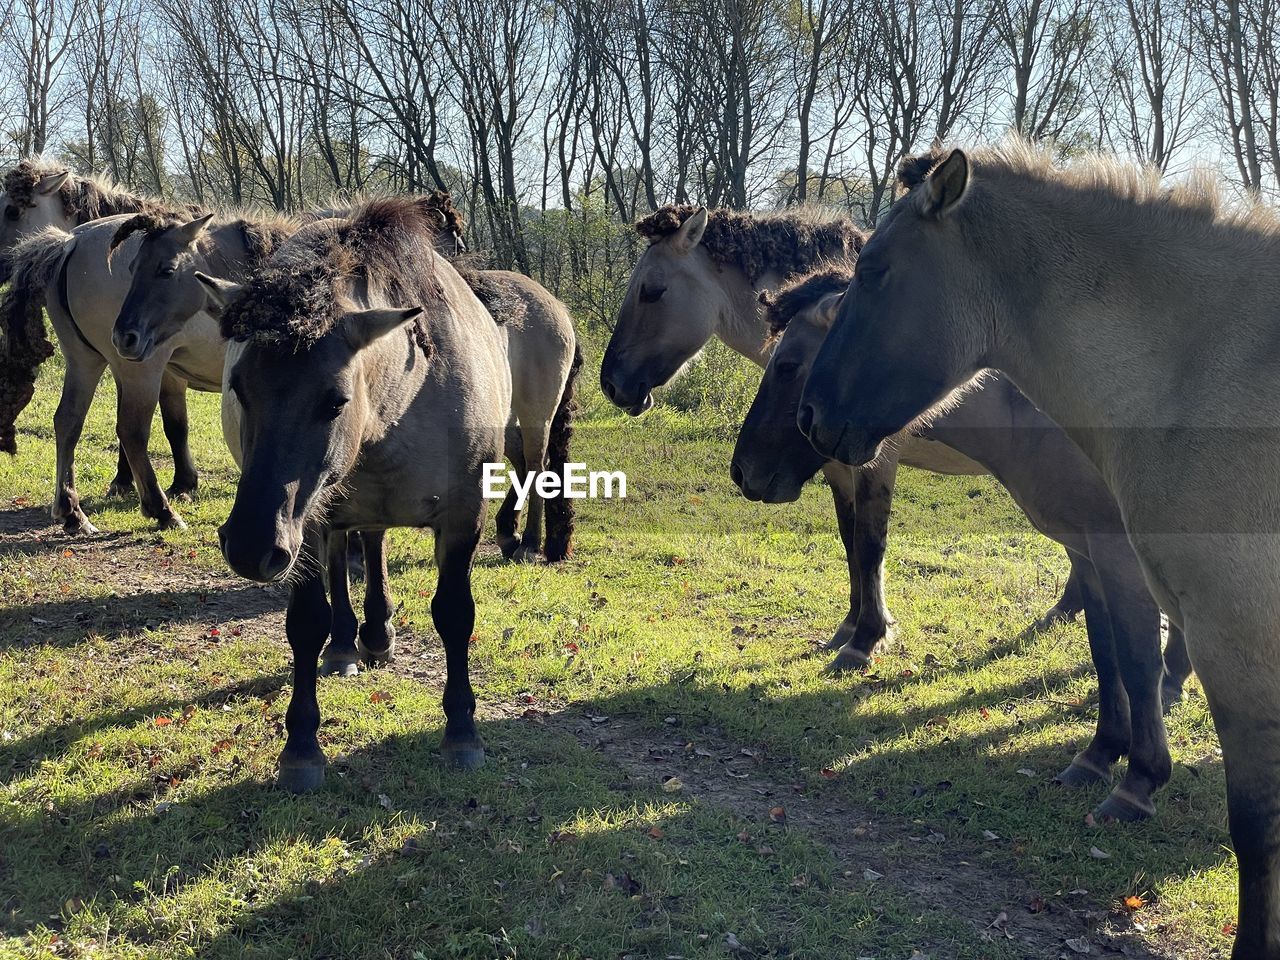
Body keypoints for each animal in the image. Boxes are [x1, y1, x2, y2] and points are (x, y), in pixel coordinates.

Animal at [197, 197, 506, 798]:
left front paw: (462, 731)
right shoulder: (301, 524)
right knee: (343, 559)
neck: (401, 402)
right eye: (239, 388)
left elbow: (454, 614)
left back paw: (377, 633)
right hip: (317, 518)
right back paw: (346, 643)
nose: (249, 546)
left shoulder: (465, 517)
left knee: (372, 543)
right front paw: (301, 747)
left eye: (335, 401)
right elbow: (306, 621)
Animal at [599, 203, 1080, 670]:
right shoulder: (834, 466)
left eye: (651, 291)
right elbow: (849, 540)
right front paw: (850, 626)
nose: (611, 383)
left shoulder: (874, 462)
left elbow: (869, 544)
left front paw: (866, 639)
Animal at [737, 264, 1192, 829]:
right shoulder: (1089, 554)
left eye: (787, 365)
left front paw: (1138, 781)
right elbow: (1106, 655)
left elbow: (1135, 662)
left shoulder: (1116, 555)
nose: (743, 471)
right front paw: (1100, 754)